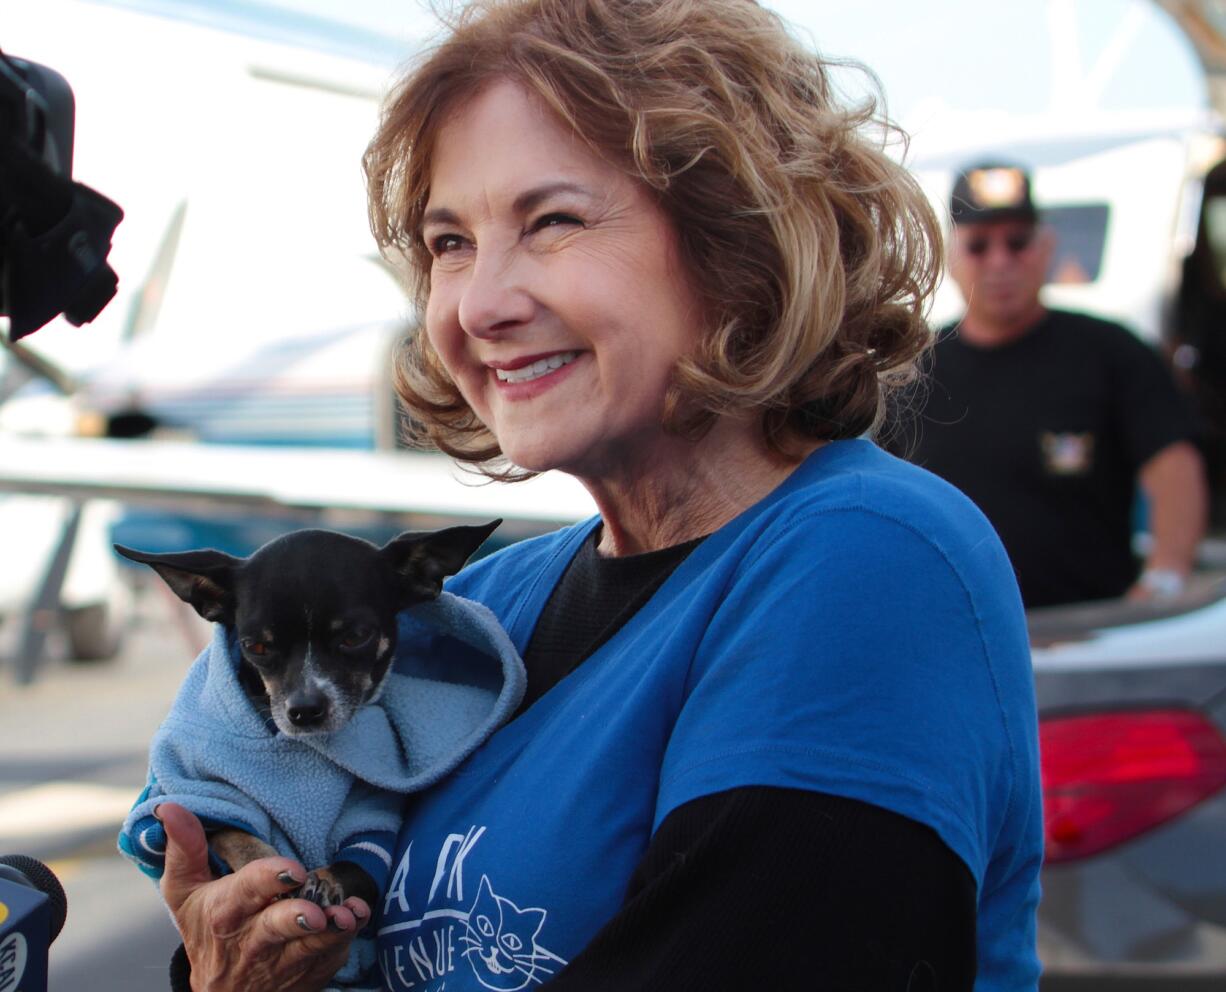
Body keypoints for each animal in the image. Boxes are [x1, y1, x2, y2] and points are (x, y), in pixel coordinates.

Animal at [115, 522, 497, 907]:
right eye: (256, 646)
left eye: (356, 636)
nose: (304, 709)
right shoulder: (196, 798)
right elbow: (236, 834)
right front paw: (268, 870)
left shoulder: (368, 818)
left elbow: (357, 864)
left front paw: (328, 880)